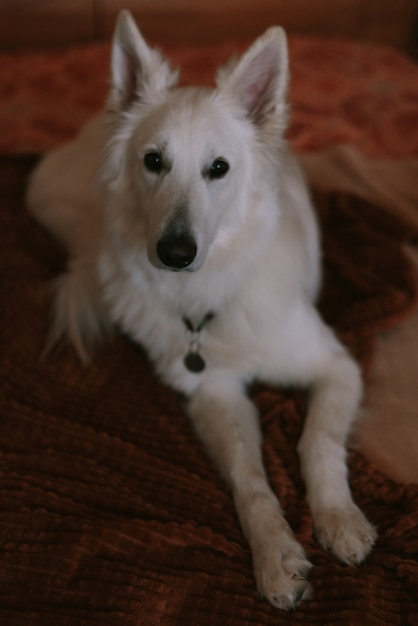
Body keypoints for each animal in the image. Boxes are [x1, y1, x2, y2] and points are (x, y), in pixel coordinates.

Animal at [27, 8, 378, 604]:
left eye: (219, 168)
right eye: (153, 161)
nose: (175, 252)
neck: (210, 292)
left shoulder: (336, 366)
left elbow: (318, 441)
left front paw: (338, 518)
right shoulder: (213, 391)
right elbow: (250, 478)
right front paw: (275, 555)